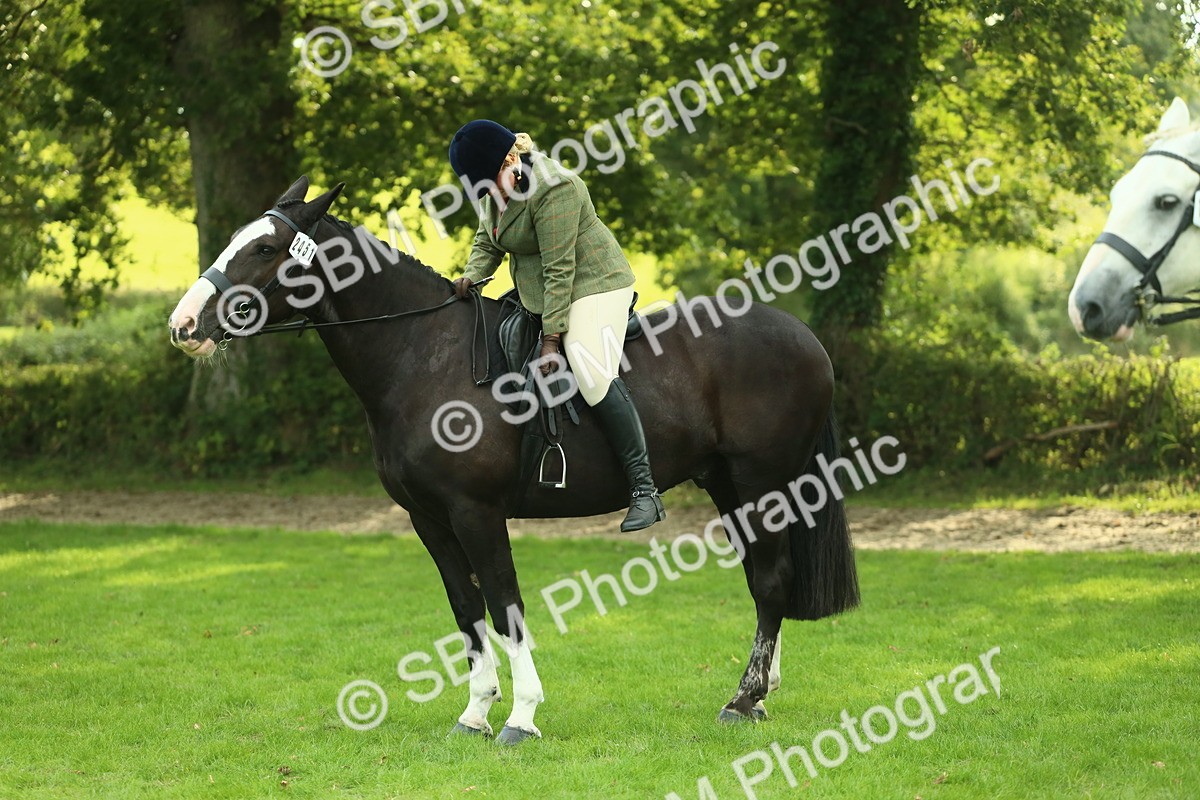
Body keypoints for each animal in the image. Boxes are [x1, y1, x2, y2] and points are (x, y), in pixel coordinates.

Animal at [167, 175, 859, 744]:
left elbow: (504, 604)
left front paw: (521, 716)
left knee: (771, 582)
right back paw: (760, 694)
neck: (423, 354)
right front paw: (475, 712)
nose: (184, 325)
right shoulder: (430, 520)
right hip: (728, 486)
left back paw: (743, 700)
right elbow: (467, 610)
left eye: (263, 250)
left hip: (762, 484)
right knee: (765, 581)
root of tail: (804, 337)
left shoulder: (476, 513)